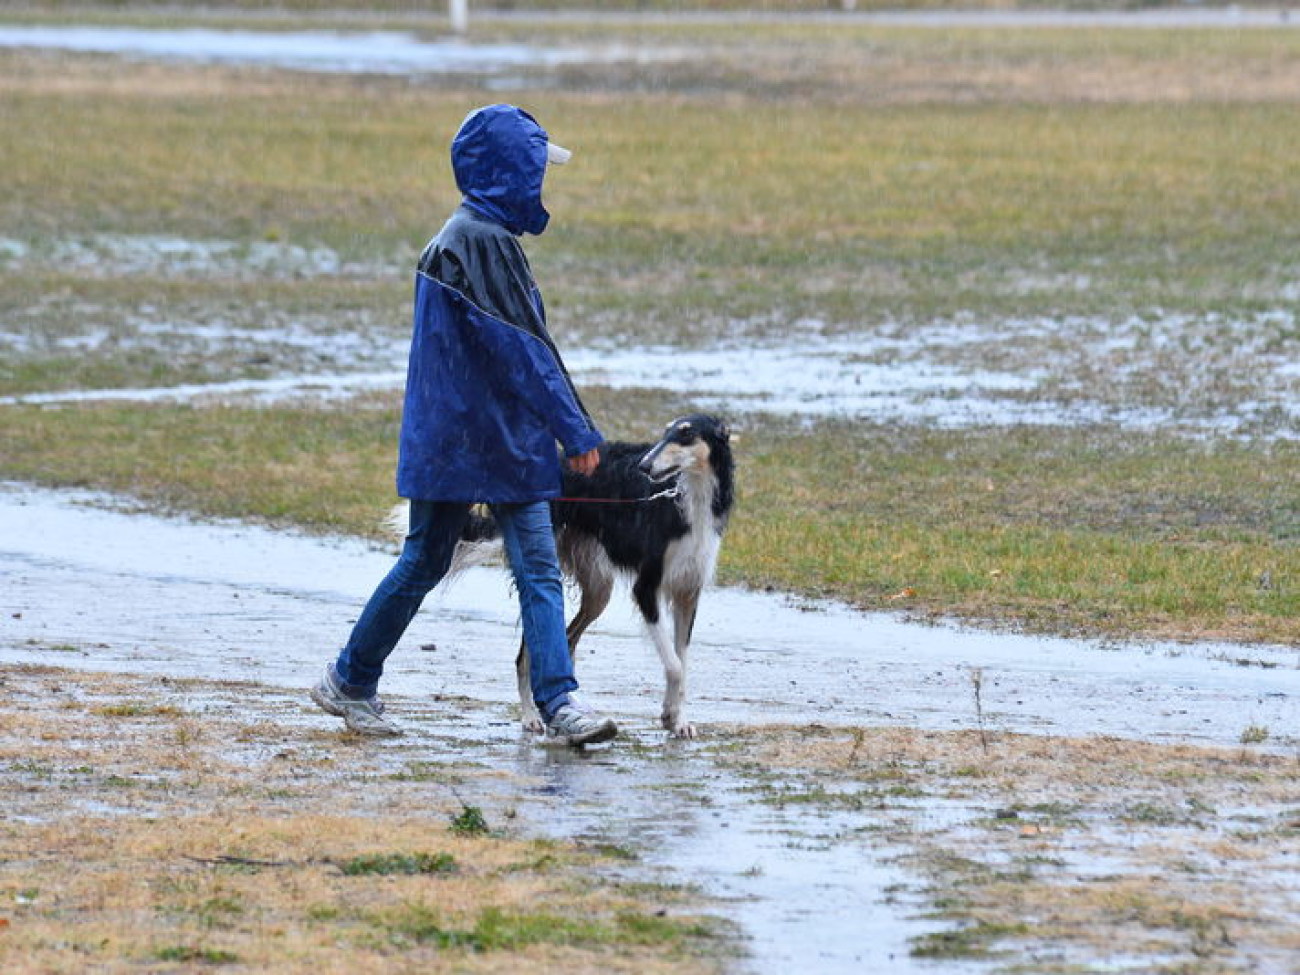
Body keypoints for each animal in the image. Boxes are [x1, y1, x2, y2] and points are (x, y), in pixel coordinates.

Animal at [444, 413, 733, 738]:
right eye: (665, 433)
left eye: (685, 434)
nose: (644, 465)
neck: (689, 497)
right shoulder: (646, 588)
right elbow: (674, 666)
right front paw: (669, 716)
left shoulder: (687, 592)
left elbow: (682, 664)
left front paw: (677, 719)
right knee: (525, 656)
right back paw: (531, 716)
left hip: (598, 590)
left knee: (567, 642)